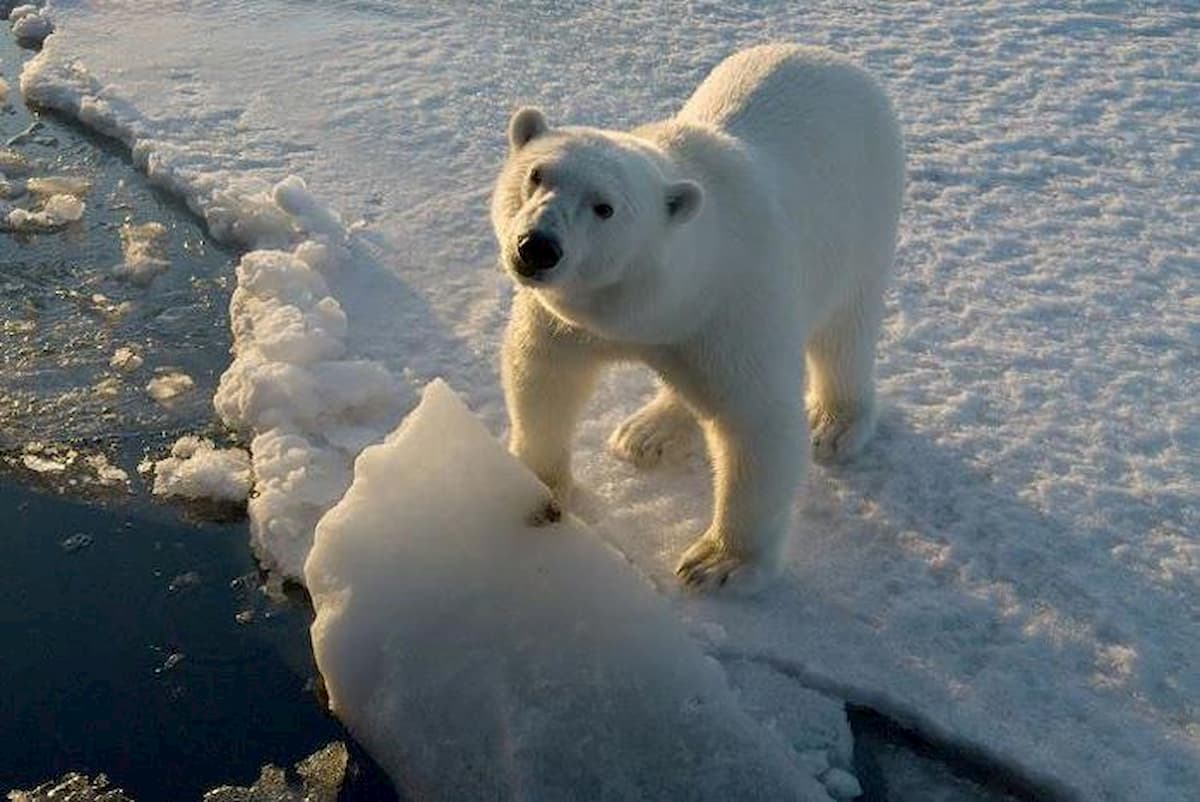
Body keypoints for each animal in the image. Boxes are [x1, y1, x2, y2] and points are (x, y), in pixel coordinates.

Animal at [491, 44, 904, 593]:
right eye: (537, 174)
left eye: (604, 207)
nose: (537, 246)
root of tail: (834, 59)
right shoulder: (572, 321)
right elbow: (543, 376)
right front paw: (534, 482)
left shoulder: (733, 309)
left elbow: (760, 423)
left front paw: (719, 562)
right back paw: (648, 432)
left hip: (864, 217)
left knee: (844, 331)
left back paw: (835, 423)